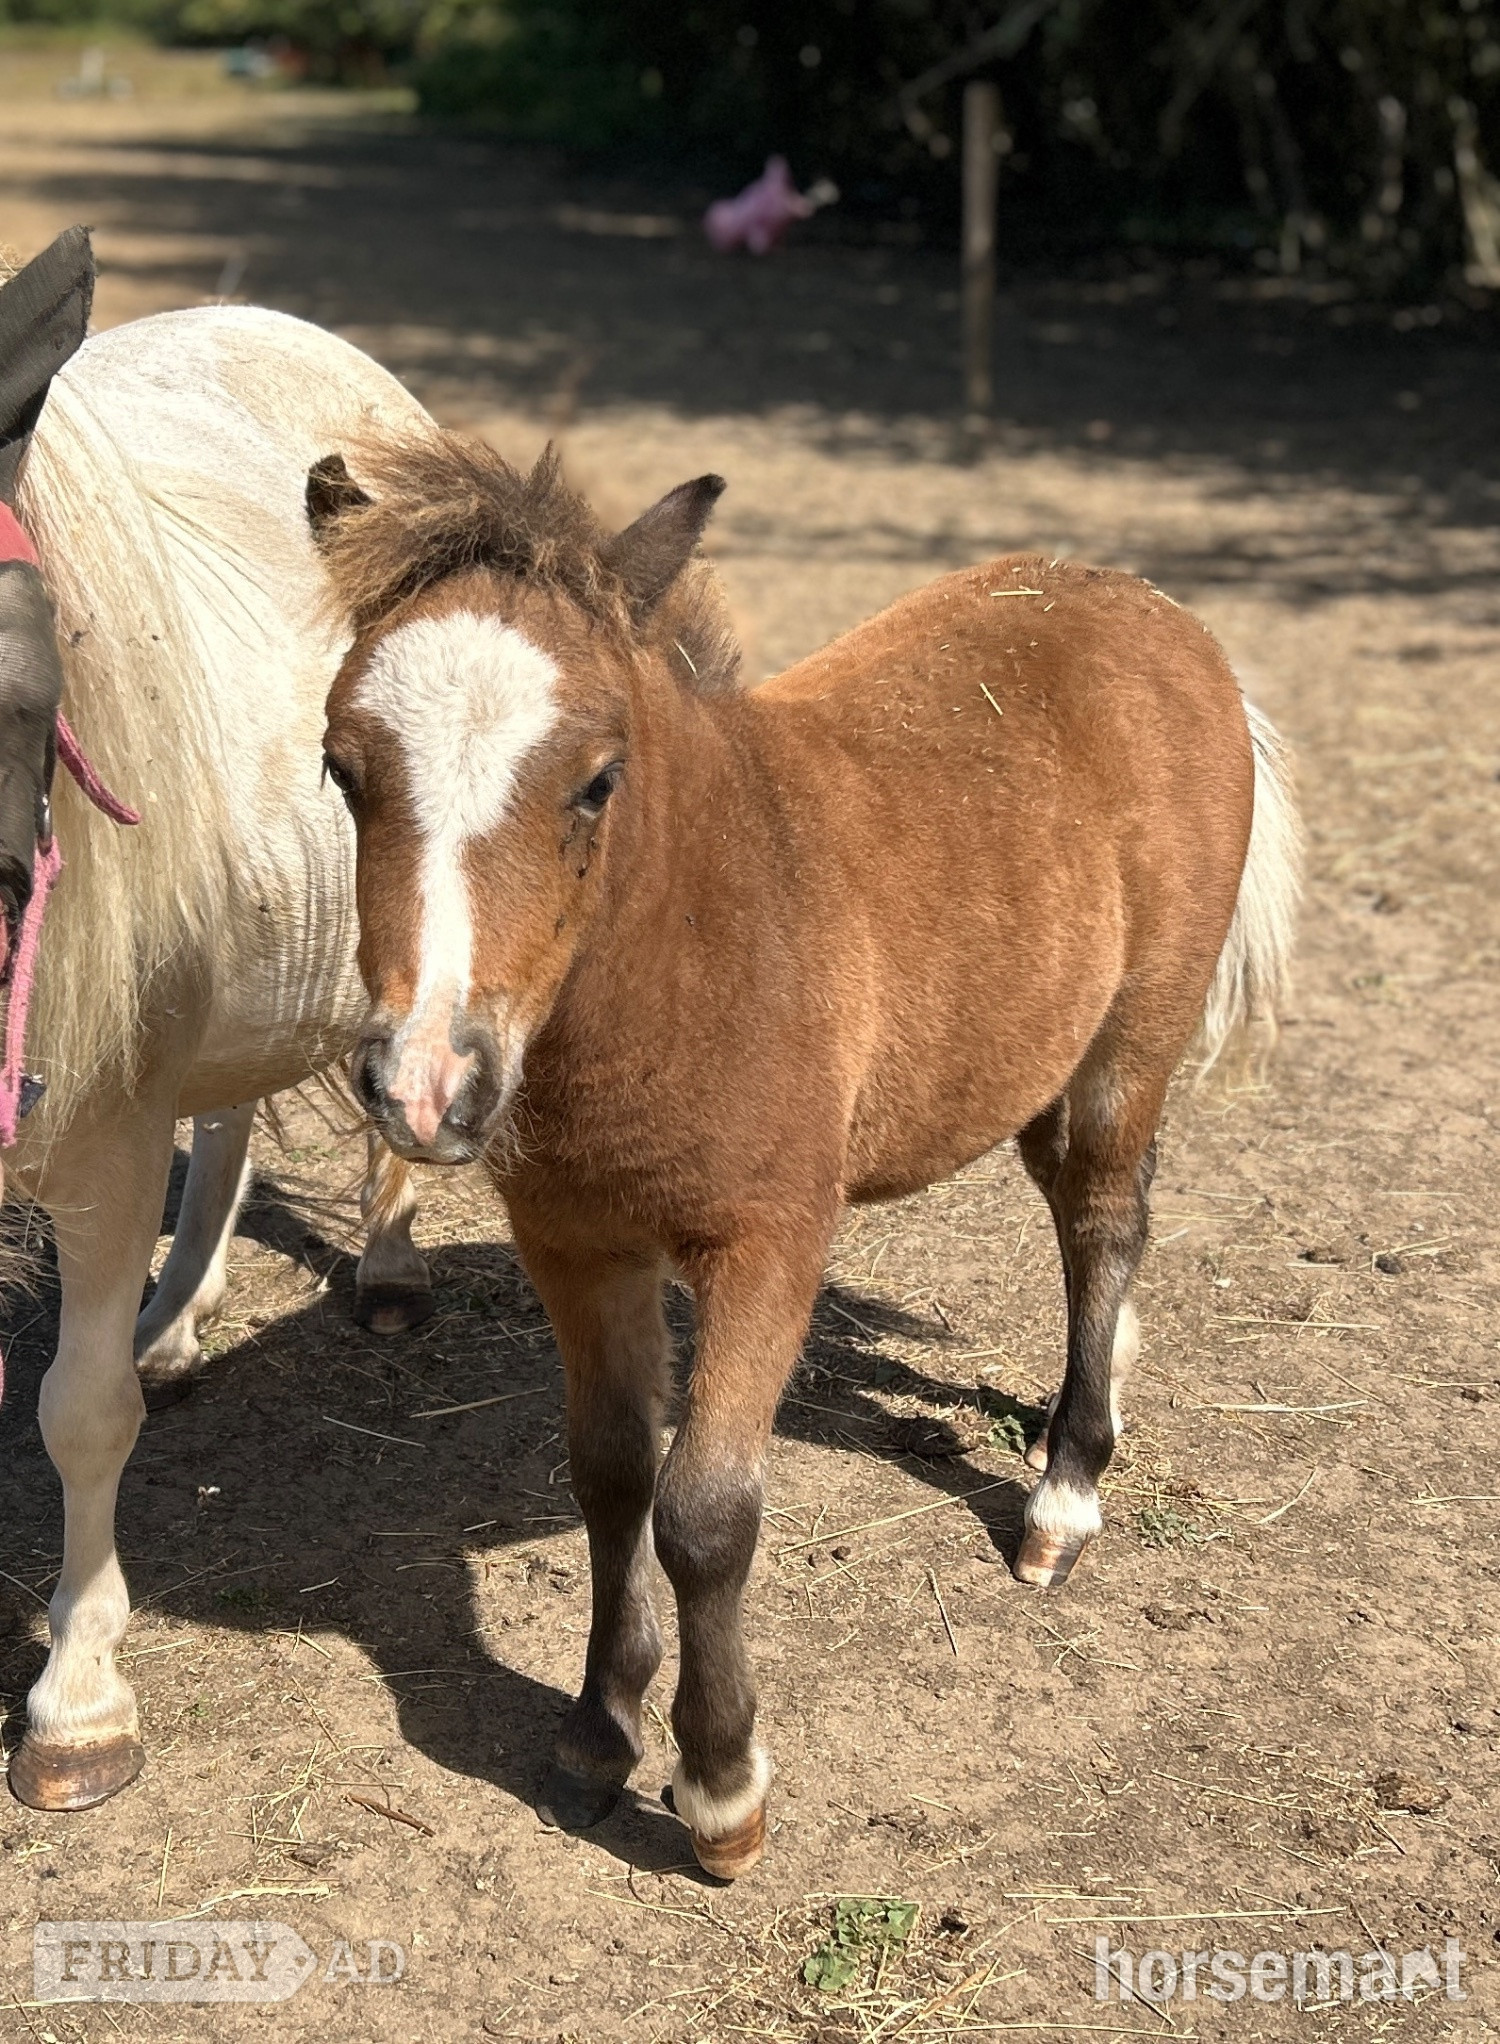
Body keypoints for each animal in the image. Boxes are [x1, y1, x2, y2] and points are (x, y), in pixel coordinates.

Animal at [4, 303, 444, 1814]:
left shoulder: (96, 1138)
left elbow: (81, 1412)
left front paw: (79, 1704)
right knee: (231, 1114)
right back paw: (181, 1321)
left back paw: (383, 1265)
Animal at [314, 427, 1301, 1881]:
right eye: (344, 768)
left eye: (597, 779)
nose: (425, 1082)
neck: (689, 945)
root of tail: (1158, 612)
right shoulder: (575, 1243)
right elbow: (612, 1472)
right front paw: (596, 1739)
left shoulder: (771, 1241)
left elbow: (706, 1510)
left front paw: (724, 1791)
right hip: (1031, 1051)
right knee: (1084, 1212)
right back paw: (1103, 1390)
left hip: (1138, 1034)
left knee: (1108, 1216)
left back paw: (1063, 1500)